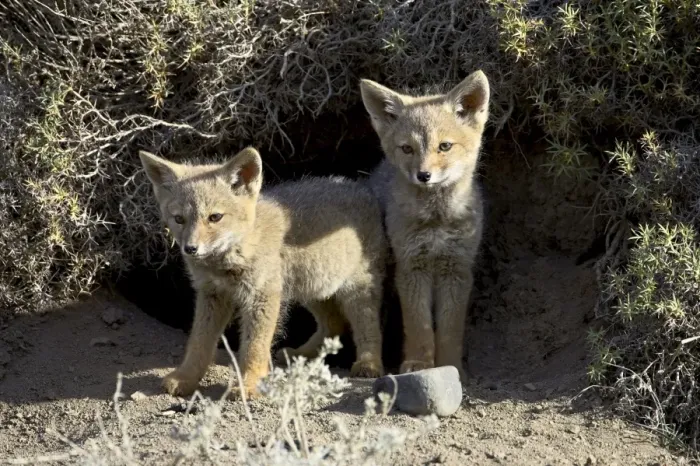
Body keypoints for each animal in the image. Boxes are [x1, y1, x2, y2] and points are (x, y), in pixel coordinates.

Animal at [139, 147, 386, 398]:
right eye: (179, 219)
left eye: (215, 217)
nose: (190, 249)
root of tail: (359, 185)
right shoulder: (212, 295)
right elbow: (199, 342)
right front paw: (186, 377)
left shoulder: (261, 296)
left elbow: (253, 347)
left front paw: (249, 384)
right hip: (311, 286)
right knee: (334, 323)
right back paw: (301, 355)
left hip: (354, 289)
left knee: (368, 326)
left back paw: (368, 364)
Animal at [360, 70, 489, 382]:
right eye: (407, 148)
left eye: (444, 146)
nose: (423, 175)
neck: (436, 221)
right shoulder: (411, 268)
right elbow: (419, 327)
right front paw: (419, 363)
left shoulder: (456, 269)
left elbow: (449, 331)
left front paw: (451, 366)